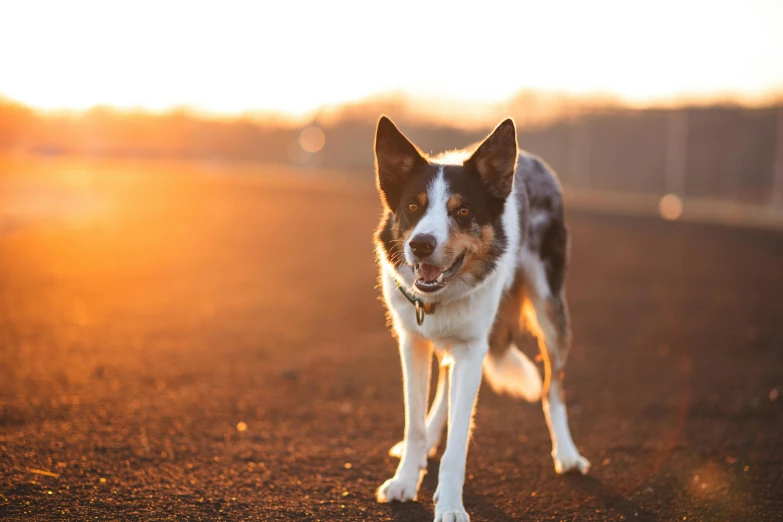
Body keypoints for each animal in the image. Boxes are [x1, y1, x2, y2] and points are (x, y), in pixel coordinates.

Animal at [372, 116, 588, 516]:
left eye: (463, 211)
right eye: (413, 206)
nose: (420, 244)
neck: (440, 297)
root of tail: (531, 159)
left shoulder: (473, 350)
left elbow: (459, 440)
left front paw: (450, 506)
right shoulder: (412, 343)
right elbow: (415, 424)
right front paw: (405, 480)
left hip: (550, 309)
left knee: (554, 386)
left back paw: (567, 454)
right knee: (445, 382)